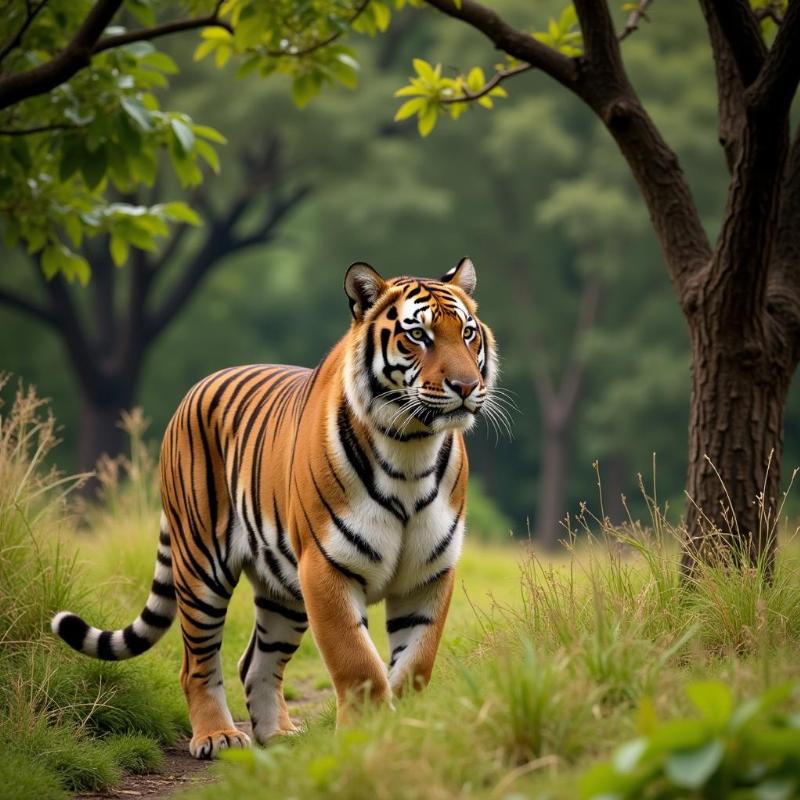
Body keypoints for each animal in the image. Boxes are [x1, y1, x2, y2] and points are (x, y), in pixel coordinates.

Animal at [51, 260, 494, 760]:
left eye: (468, 333)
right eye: (418, 335)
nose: (467, 387)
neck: (410, 447)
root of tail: (196, 388)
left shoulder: (428, 574)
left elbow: (415, 665)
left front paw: (403, 730)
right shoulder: (326, 568)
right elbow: (358, 663)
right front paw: (365, 738)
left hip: (284, 588)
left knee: (255, 662)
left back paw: (277, 736)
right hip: (202, 567)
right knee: (197, 662)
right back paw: (217, 736)